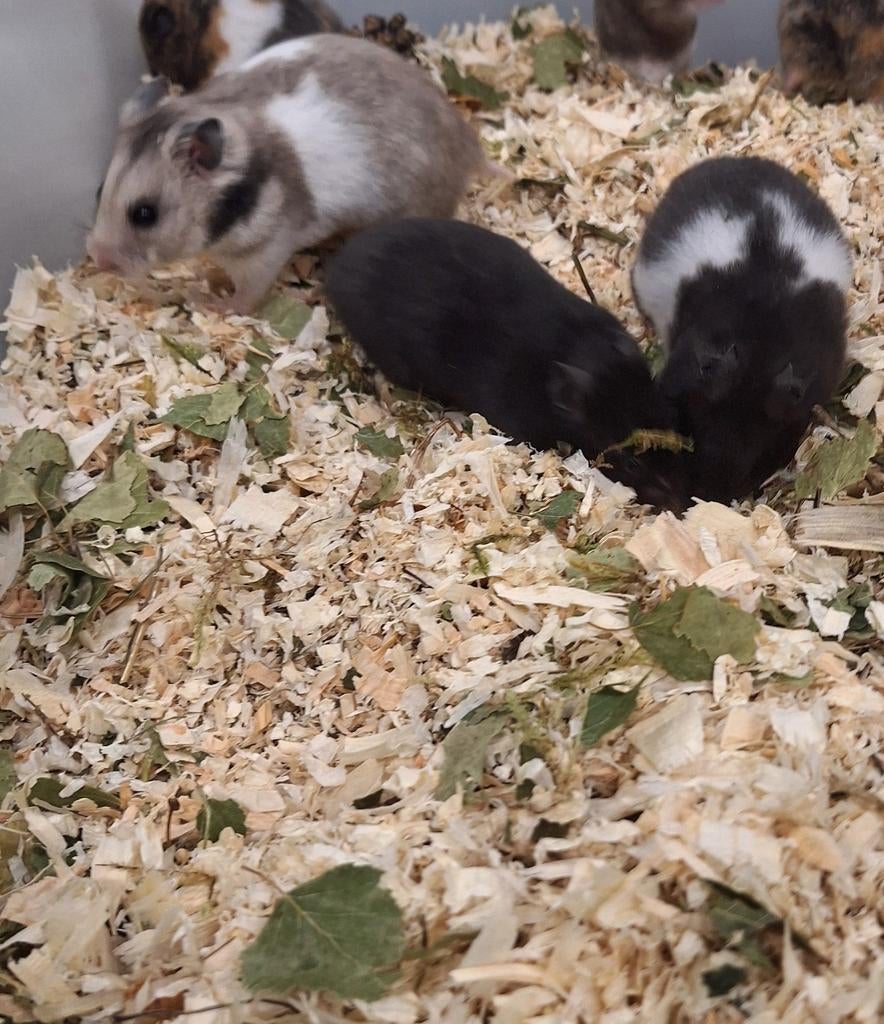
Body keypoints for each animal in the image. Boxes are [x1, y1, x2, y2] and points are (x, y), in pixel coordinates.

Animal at [87, 35, 488, 313]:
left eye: (145, 214)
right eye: (99, 190)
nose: (96, 259)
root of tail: (471, 146)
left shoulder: (265, 254)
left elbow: (246, 295)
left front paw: (213, 305)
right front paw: (206, 278)